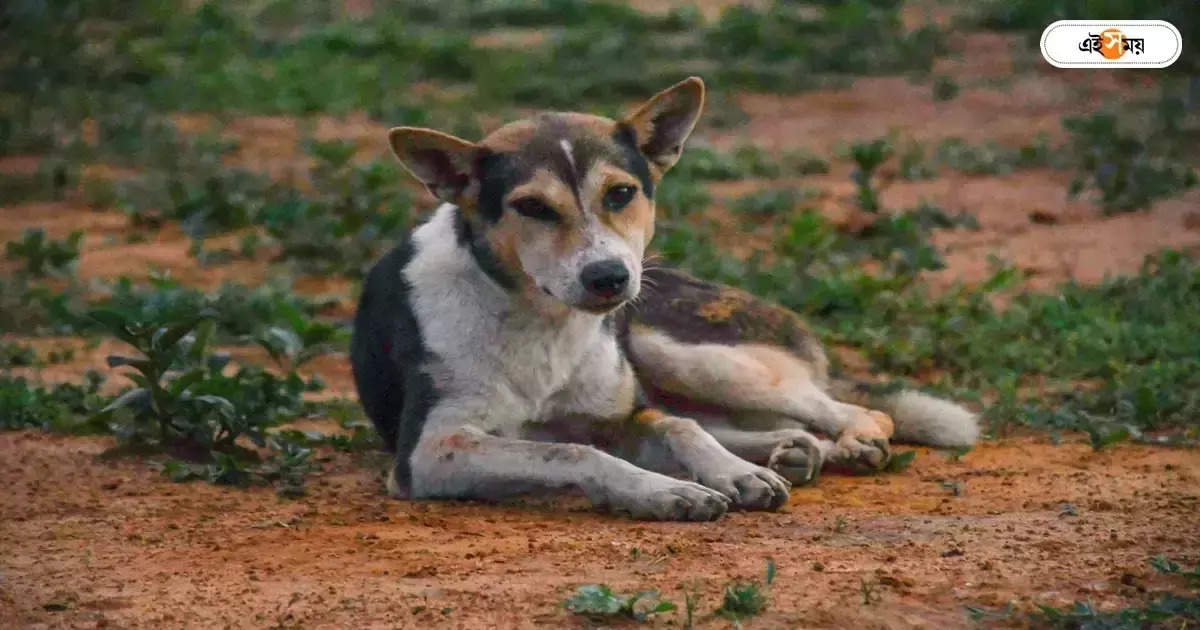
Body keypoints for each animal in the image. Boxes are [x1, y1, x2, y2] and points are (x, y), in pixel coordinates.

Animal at [350, 77, 974, 520]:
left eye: (621, 193)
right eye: (532, 208)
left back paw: (842, 442)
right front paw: (666, 491)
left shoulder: (620, 413)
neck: (544, 324)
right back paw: (799, 450)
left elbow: (675, 429)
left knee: (842, 409)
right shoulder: (431, 450)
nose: (608, 278)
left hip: (682, 352)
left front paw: (728, 475)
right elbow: (571, 450)